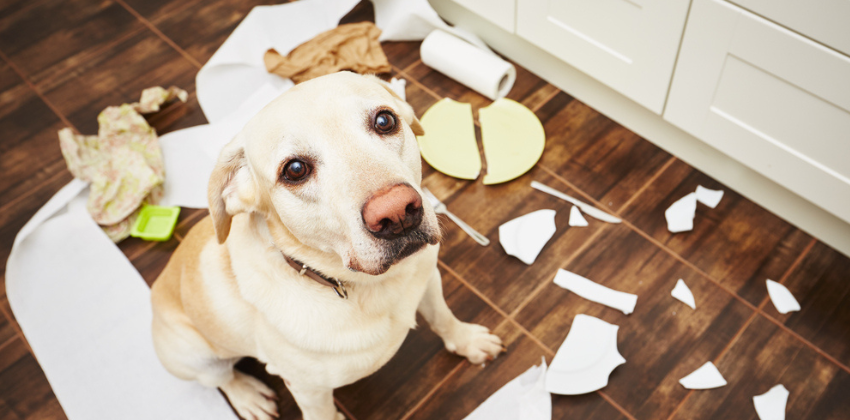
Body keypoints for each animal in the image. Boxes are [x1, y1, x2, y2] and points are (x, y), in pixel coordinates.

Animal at [152, 72, 500, 420]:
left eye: (385, 120)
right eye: (295, 170)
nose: (397, 212)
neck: (369, 286)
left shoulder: (428, 282)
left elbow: (443, 317)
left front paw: (467, 341)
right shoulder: (309, 390)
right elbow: (321, 413)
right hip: (196, 357)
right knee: (222, 379)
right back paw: (248, 396)